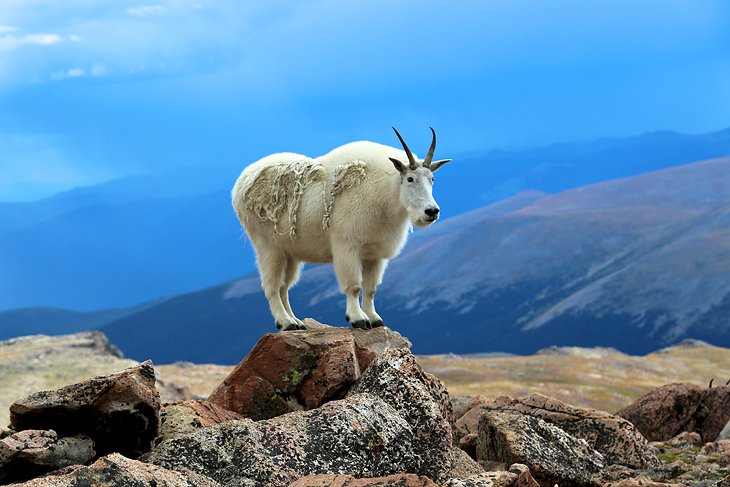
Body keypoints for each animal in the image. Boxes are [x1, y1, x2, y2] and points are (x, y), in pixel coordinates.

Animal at [232, 129, 450, 332]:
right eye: (410, 179)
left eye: (432, 178)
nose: (432, 211)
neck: (386, 194)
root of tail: (240, 183)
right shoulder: (348, 246)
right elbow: (354, 286)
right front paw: (357, 319)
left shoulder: (375, 254)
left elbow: (370, 289)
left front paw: (374, 319)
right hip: (268, 247)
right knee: (272, 286)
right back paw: (286, 322)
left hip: (290, 253)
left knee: (285, 287)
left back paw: (296, 321)